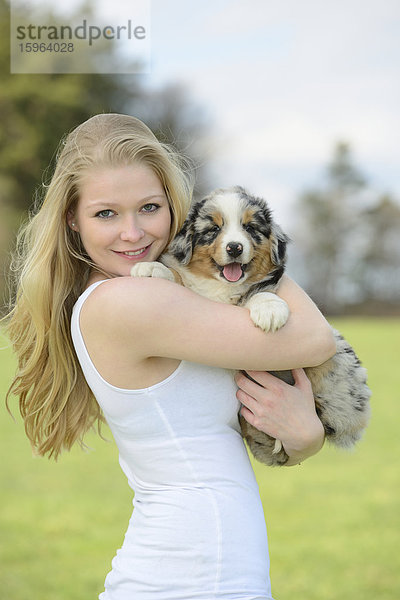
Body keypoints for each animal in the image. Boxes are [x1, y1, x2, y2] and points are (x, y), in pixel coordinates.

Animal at [131, 185, 372, 466]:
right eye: (214, 229)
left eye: (250, 228)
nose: (235, 248)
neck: (221, 288)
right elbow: (177, 276)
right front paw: (149, 267)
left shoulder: (261, 286)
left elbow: (259, 291)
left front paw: (269, 310)